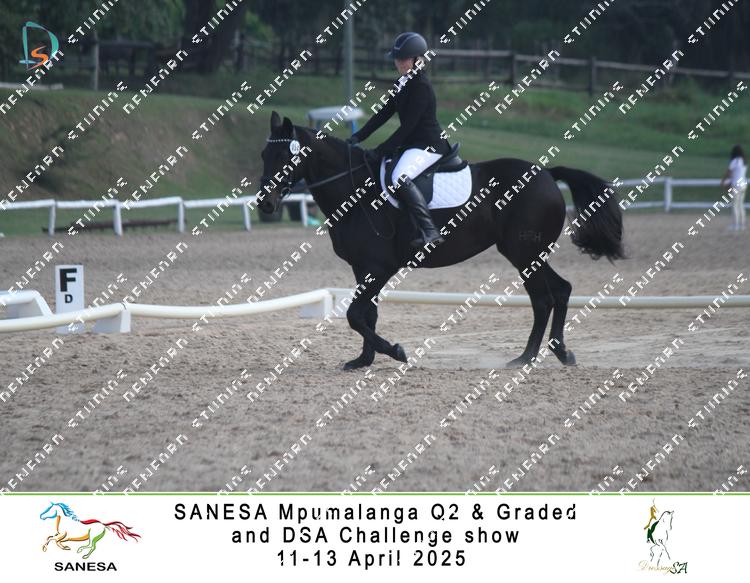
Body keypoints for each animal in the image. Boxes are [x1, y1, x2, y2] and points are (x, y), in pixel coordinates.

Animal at [258, 111, 624, 370]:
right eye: (264, 155)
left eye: (285, 157)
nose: (265, 204)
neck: (354, 191)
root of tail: (547, 173)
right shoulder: (364, 268)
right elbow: (366, 315)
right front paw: (363, 361)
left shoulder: (379, 267)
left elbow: (355, 315)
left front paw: (396, 351)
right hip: (527, 253)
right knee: (558, 291)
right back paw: (556, 353)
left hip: (524, 252)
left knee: (544, 298)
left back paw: (527, 357)